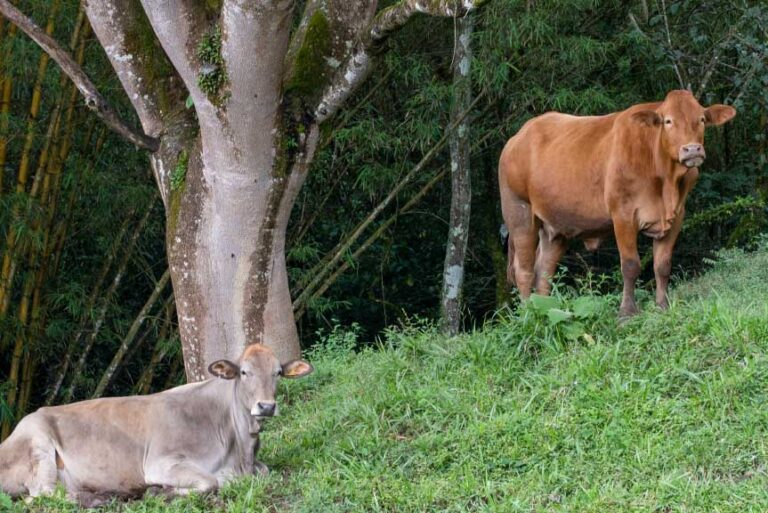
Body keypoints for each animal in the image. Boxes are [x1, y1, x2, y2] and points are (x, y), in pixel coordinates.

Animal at [0, 342, 312, 506]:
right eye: (244, 372)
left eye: (278, 372)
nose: (266, 406)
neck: (241, 450)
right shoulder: (161, 463)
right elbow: (210, 482)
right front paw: (160, 491)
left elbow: (265, 471)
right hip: (38, 442)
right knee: (43, 497)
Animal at [500, 91, 736, 316]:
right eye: (668, 121)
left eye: (702, 119)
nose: (693, 149)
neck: (665, 181)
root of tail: (517, 137)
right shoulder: (623, 214)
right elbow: (630, 265)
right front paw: (627, 312)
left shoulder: (677, 216)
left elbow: (663, 265)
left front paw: (662, 306)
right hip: (519, 211)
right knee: (524, 271)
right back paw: (529, 314)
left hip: (555, 227)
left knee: (544, 272)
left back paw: (546, 310)